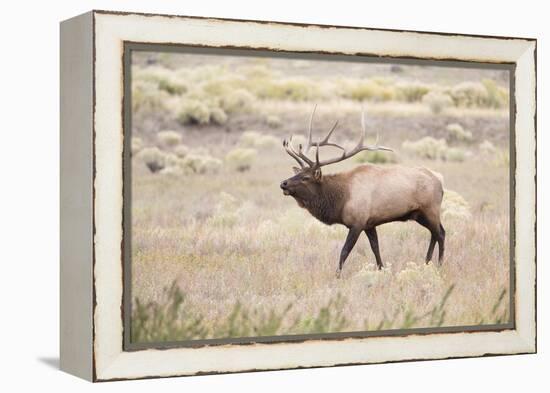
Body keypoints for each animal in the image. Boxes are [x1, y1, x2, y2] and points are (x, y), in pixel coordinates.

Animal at [282, 105, 446, 278]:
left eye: (305, 177)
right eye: (297, 173)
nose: (283, 184)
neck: (340, 200)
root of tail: (440, 182)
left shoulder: (357, 223)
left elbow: (344, 251)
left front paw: (337, 276)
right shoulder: (369, 224)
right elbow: (375, 249)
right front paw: (381, 270)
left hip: (430, 209)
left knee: (441, 233)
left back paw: (439, 265)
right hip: (419, 215)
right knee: (434, 234)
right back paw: (427, 262)